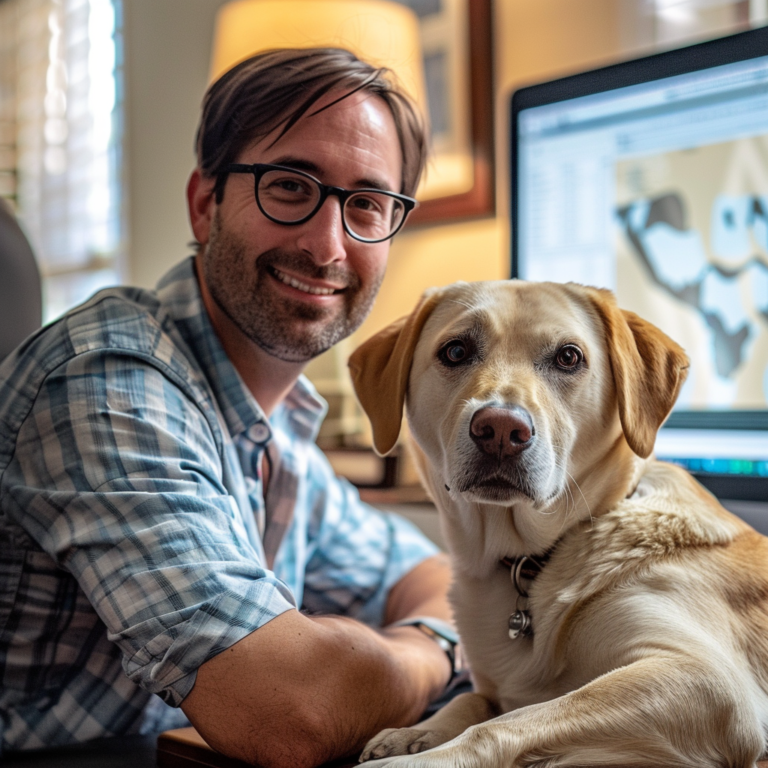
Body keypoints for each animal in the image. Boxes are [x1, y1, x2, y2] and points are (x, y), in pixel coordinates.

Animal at [352, 282, 768, 768]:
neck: (532, 557)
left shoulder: (704, 677)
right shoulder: (493, 686)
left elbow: (508, 722)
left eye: (569, 357)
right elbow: (471, 699)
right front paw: (417, 731)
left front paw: (419, 758)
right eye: (455, 351)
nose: (500, 429)